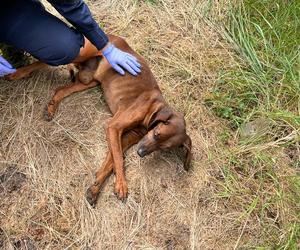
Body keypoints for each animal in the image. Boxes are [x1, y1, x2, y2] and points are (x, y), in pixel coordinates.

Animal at [11, 35, 192, 207]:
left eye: (164, 148)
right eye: (157, 134)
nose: (140, 153)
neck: (153, 108)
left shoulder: (125, 137)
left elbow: (111, 161)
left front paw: (96, 188)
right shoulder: (113, 127)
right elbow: (119, 159)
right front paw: (121, 184)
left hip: (88, 81)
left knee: (60, 89)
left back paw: (51, 107)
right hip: (81, 53)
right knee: (44, 61)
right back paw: (16, 73)